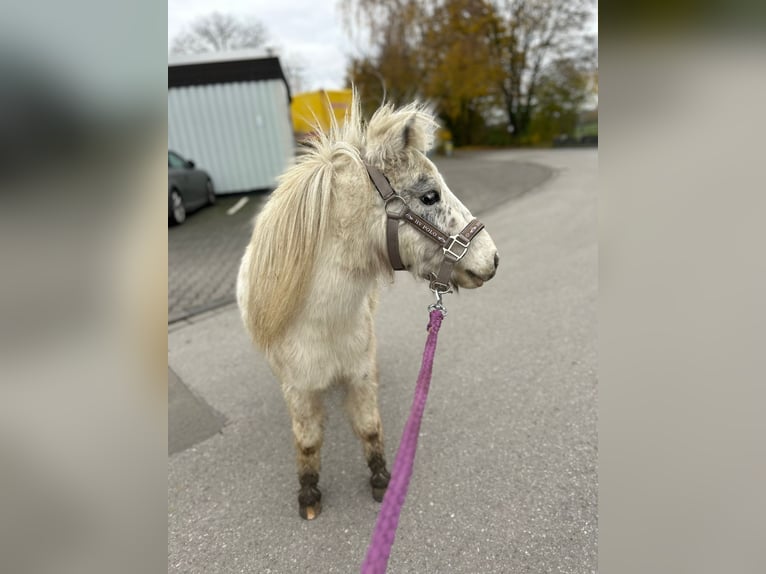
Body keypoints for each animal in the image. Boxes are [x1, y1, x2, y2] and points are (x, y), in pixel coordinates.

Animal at [236, 95, 498, 520]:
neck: (319, 324)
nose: (492, 259)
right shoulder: (297, 387)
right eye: (429, 196)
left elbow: (369, 427)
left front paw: (381, 481)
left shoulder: (359, 374)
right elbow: (307, 440)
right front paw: (309, 495)